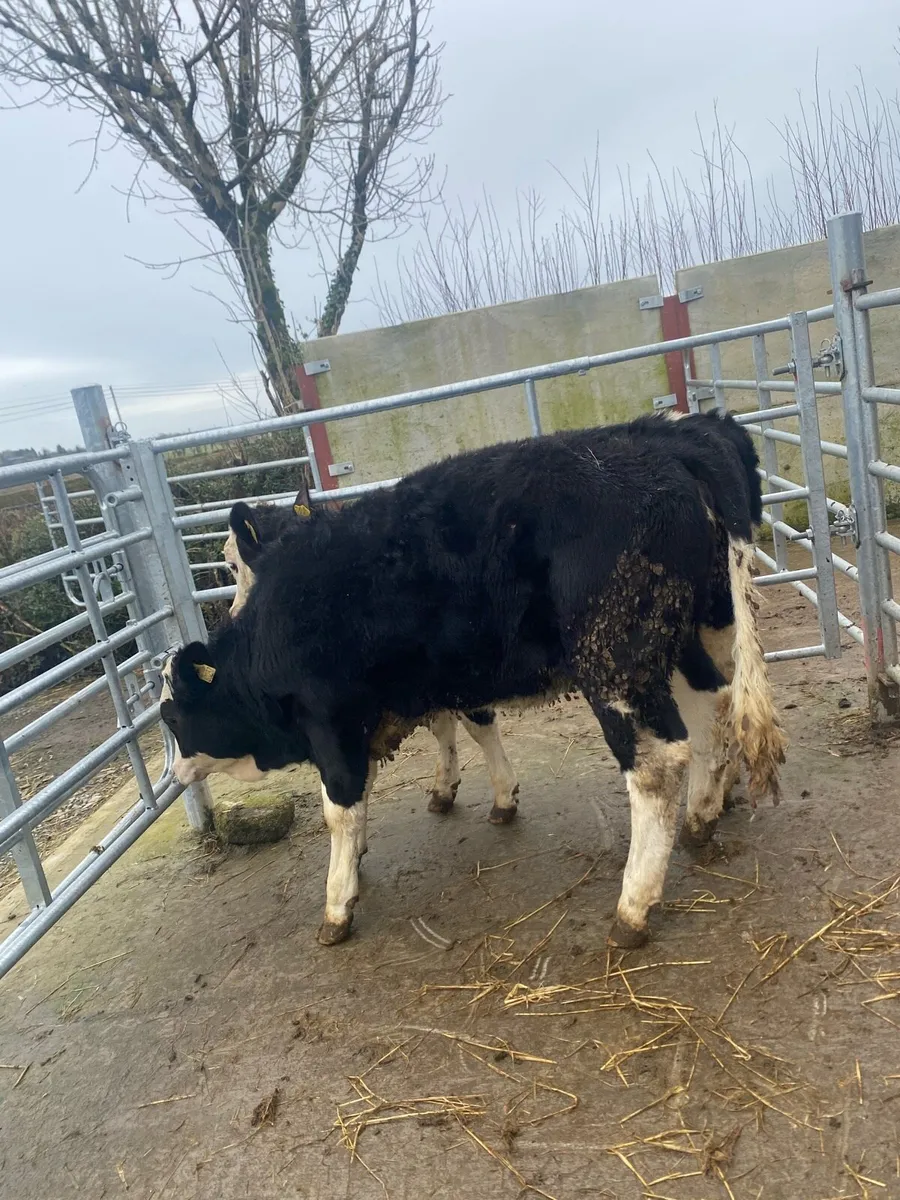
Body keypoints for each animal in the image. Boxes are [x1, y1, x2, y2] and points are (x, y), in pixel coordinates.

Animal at [221, 490, 521, 823]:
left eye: (233, 565)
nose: (233, 613)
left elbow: (478, 725)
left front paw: (504, 797)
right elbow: (442, 726)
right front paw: (444, 788)